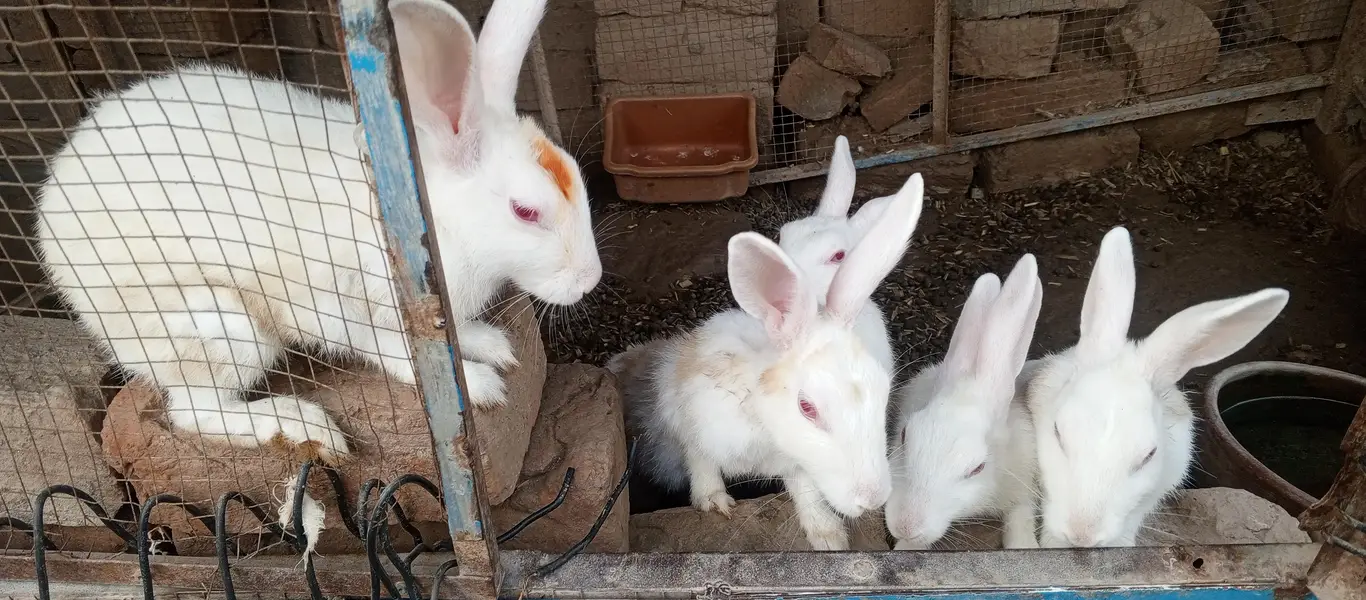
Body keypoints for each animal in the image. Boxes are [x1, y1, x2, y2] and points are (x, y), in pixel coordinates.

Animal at [33, 0, 601, 465]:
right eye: (525, 211)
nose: (589, 281)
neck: (432, 228)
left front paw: (492, 345)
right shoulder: (344, 308)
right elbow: (394, 354)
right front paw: (483, 385)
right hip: (217, 327)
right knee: (196, 410)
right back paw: (305, 427)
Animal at [610, 173, 926, 551]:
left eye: (883, 395)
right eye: (807, 407)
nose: (873, 499)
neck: (764, 425)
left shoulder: (795, 465)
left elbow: (803, 486)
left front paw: (827, 536)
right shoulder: (688, 414)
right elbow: (699, 457)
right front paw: (713, 501)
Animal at [886, 253, 1044, 551]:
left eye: (977, 469)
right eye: (903, 436)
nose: (905, 526)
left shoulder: (1023, 484)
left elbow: (1021, 515)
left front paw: (1025, 545)